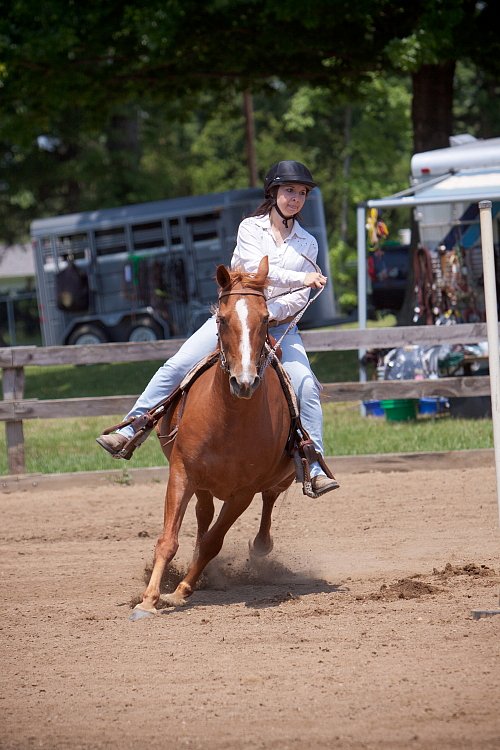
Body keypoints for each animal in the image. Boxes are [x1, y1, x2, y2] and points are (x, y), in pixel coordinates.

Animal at [132, 256, 296, 620]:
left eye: (267, 319)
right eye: (221, 319)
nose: (244, 382)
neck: (227, 421)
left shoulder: (243, 493)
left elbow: (213, 542)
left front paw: (180, 591)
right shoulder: (181, 471)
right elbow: (168, 539)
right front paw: (148, 601)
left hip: (281, 477)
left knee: (269, 499)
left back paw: (259, 546)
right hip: (202, 482)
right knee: (203, 513)